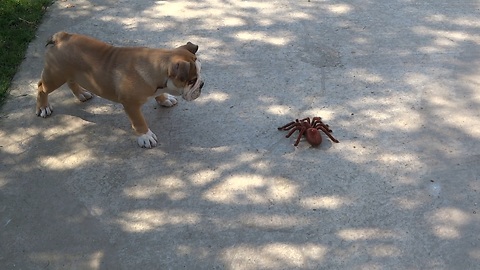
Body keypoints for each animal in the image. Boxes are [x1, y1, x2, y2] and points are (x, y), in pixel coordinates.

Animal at [35, 32, 203, 149]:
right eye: (191, 81)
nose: (201, 84)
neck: (155, 66)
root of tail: (62, 37)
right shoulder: (130, 104)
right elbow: (139, 121)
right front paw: (145, 136)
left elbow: (159, 94)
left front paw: (165, 99)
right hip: (54, 76)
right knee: (41, 87)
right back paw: (43, 107)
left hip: (69, 73)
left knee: (71, 82)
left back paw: (81, 94)